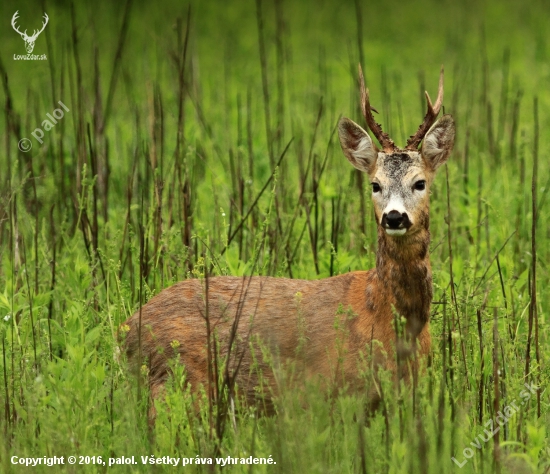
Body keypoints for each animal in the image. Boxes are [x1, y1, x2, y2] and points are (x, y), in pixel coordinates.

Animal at [124, 65, 458, 414]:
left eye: (420, 183)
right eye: (375, 185)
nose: (394, 217)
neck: (389, 312)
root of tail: (127, 333)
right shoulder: (338, 391)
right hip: (176, 381)